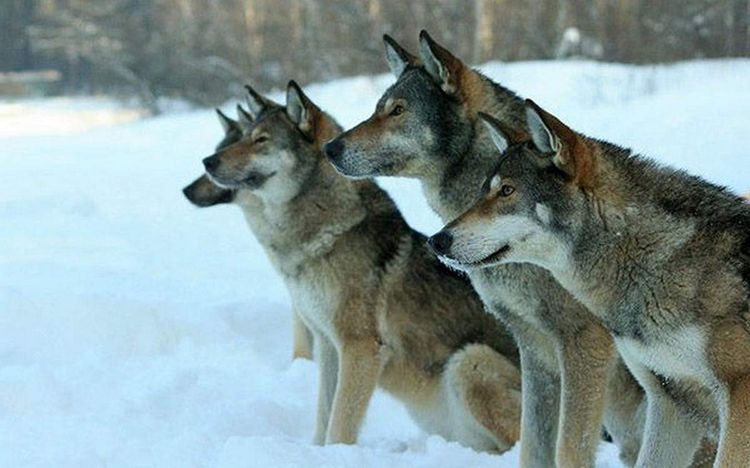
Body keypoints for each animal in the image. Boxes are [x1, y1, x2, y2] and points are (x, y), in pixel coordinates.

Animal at [183, 82, 522, 451]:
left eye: (260, 140)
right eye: (241, 139)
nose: (206, 162)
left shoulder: (360, 348)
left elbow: (339, 426)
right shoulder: (328, 345)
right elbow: (323, 417)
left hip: (469, 363)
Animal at [325, 31, 649, 467]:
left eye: (397, 111)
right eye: (378, 109)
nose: (330, 148)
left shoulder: (583, 342)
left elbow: (569, 447)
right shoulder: (534, 347)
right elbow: (533, 446)